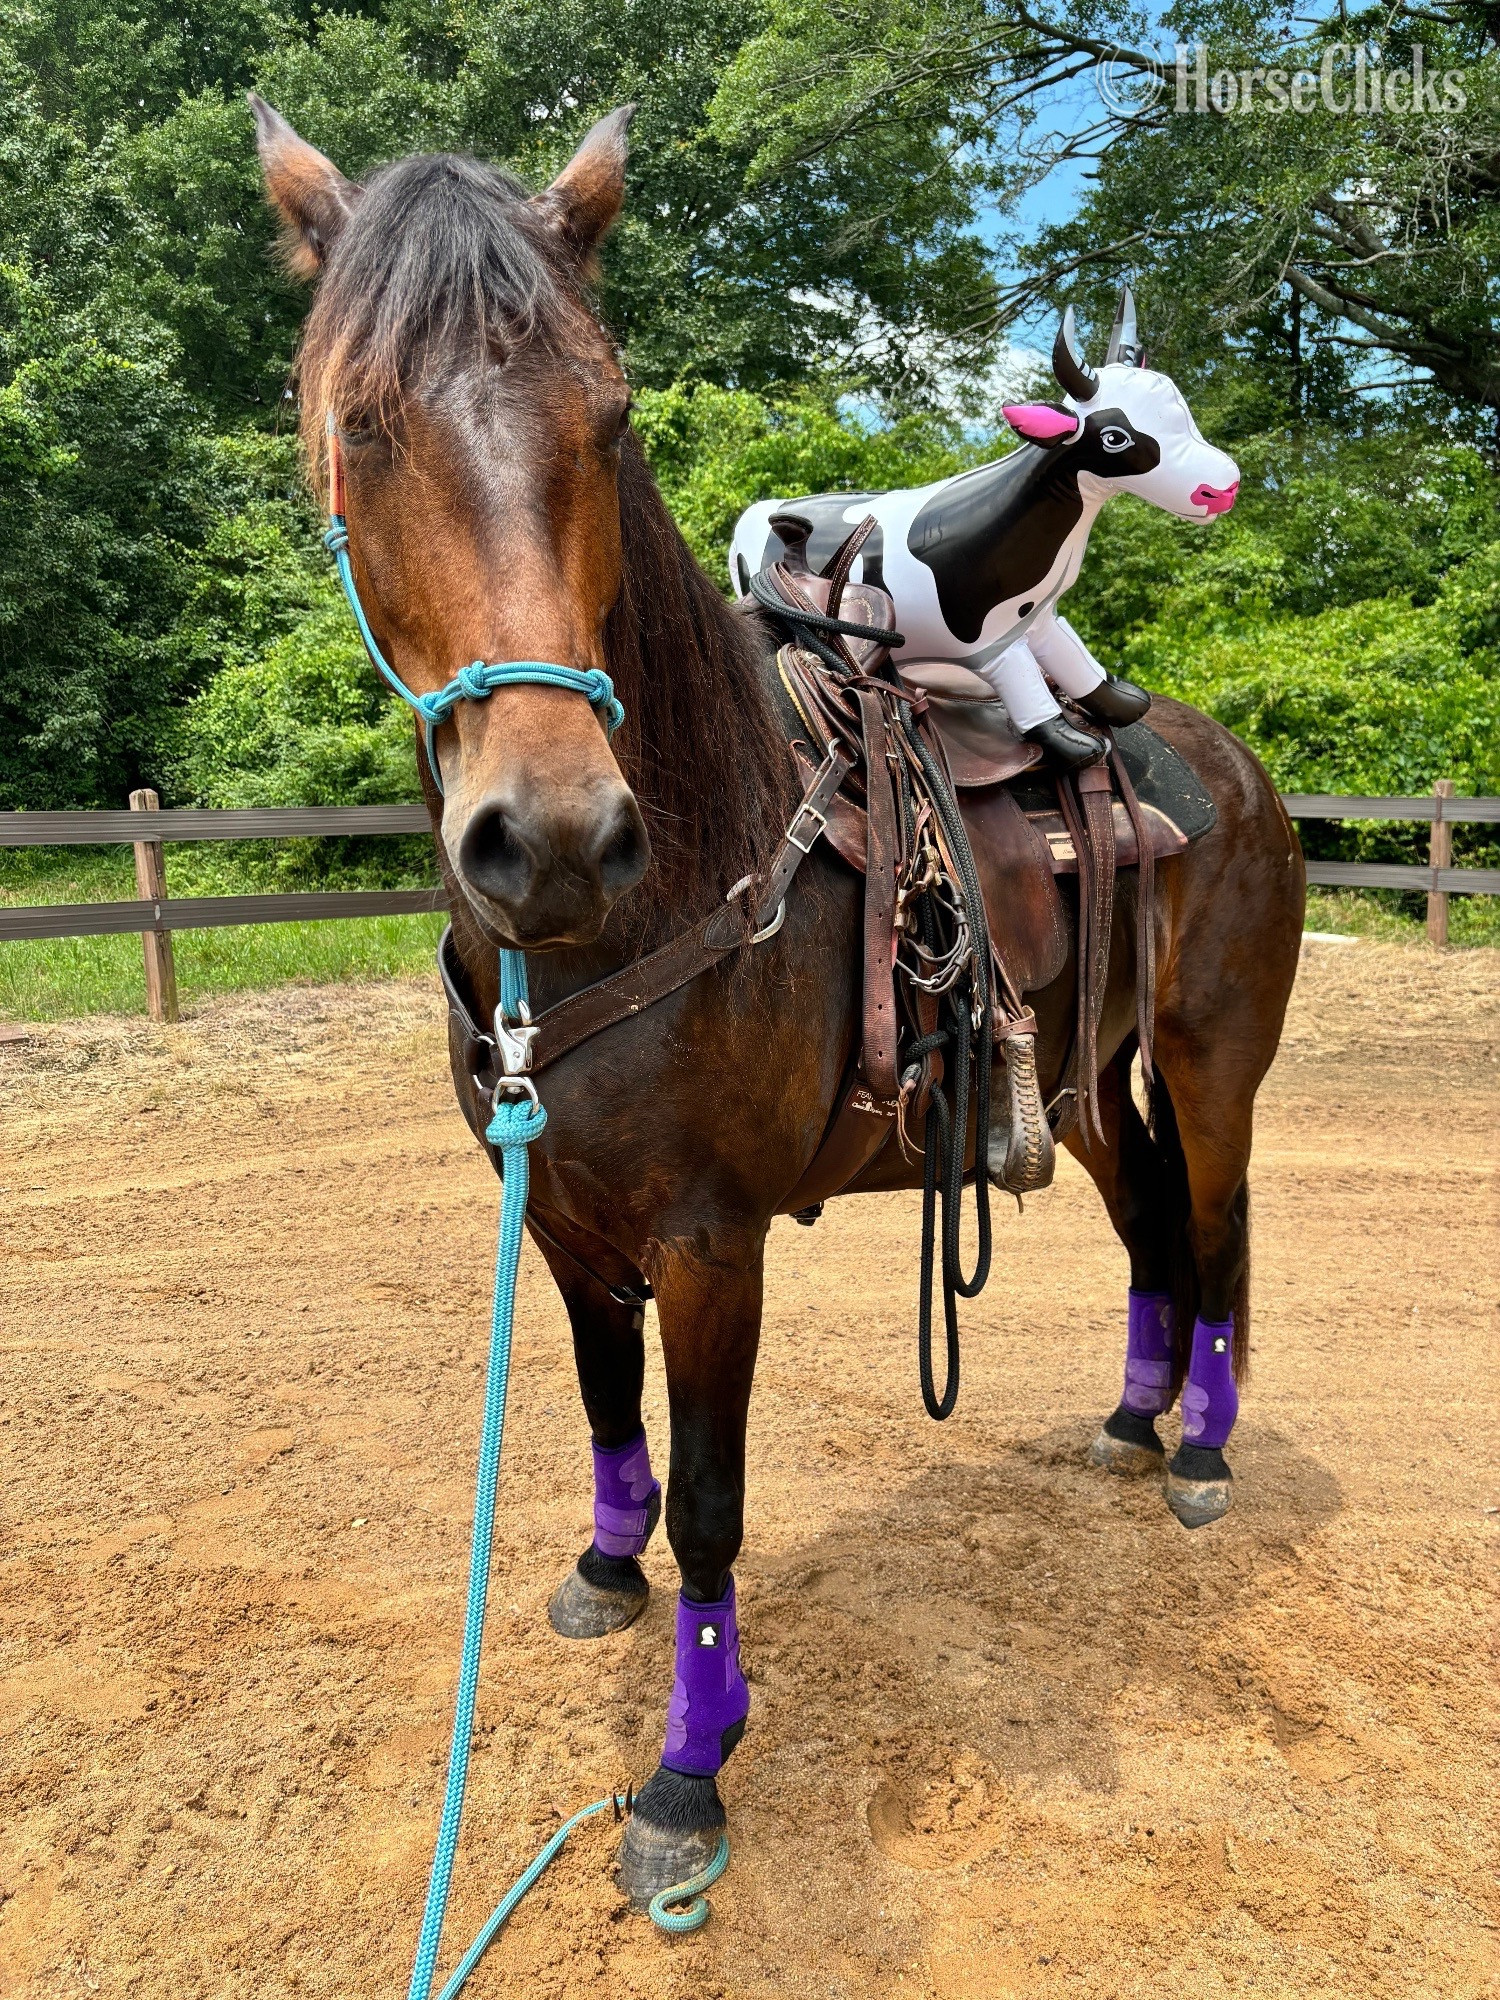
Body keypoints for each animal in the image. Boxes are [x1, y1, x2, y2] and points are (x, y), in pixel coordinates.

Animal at [252, 96, 1306, 1900]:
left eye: (606, 419)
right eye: (359, 426)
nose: (553, 836)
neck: (685, 871)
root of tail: (1230, 768)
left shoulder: (707, 1241)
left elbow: (712, 1503)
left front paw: (689, 1778)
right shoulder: (561, 1220)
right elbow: (611, 1425)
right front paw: (602, 1578)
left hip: (1213, 1064)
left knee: (1225, 1230)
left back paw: (1207, 1450)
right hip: (1083, 1089)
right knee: (1155, 1227)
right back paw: (1132, 1415)